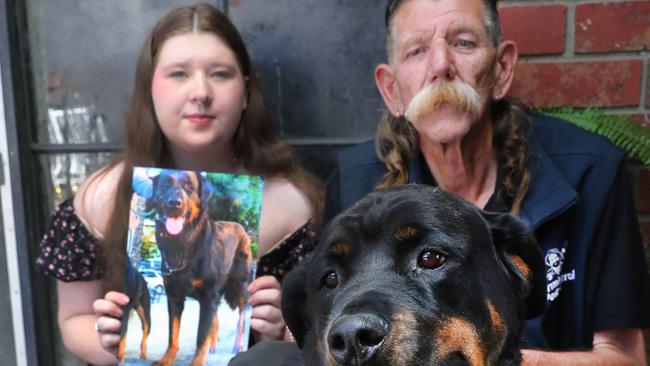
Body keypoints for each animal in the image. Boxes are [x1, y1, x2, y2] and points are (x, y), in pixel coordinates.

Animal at [135, 171, 252, 366]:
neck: (183, 245)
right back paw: (214, 345)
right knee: (216, 318)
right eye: (165, 185)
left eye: (190, 186)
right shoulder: (174, 297)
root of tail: (241, 227)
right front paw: (166, 359)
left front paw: (197, 361)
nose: (174, 203)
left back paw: (238, 344)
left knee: (241, 317)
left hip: (241, 285)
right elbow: (173, 334)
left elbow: (201, 336)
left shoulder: (208, 297)